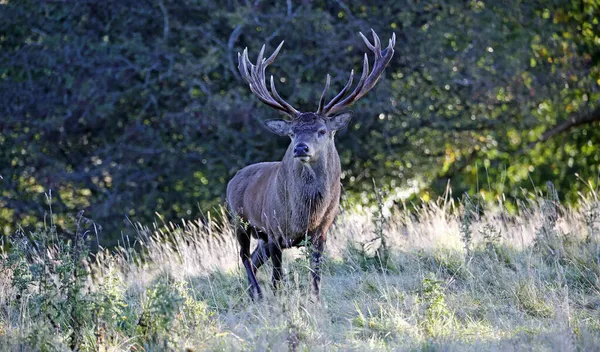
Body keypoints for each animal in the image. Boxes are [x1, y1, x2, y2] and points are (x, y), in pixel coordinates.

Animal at [226, 30, 394, 300]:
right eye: (292, 133)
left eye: (322, 130)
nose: (300, 148)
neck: (304, 216)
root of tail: (233, 179)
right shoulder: (274, 230)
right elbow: (278, 278)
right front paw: (280, 300)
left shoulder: (321, 231)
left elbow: (316, 276)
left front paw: (314, 300)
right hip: (238, 219)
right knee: (244, 257)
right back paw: (258, 294)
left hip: (257, 234)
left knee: (253, 258)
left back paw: (252, 295)